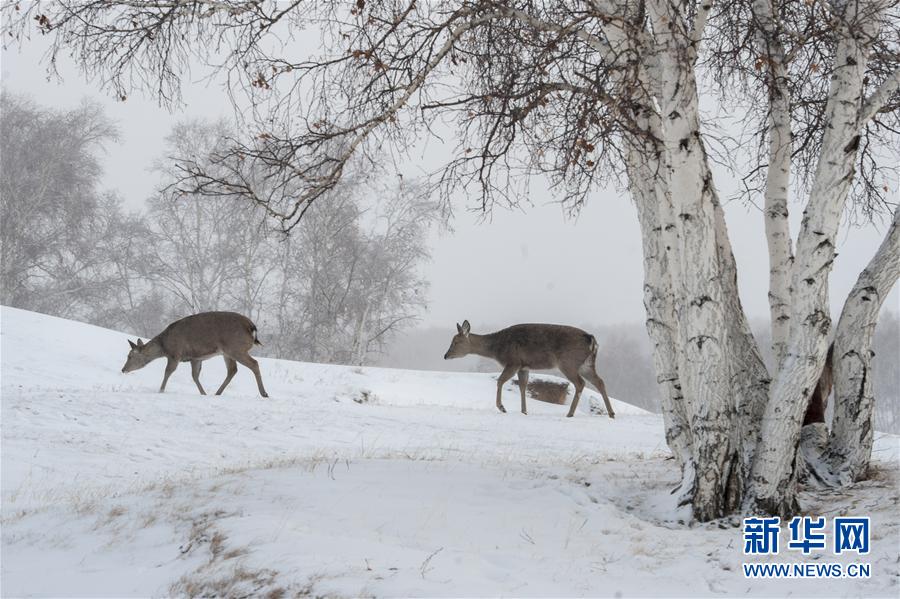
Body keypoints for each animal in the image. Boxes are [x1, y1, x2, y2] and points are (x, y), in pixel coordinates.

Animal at [120, 314, 268, 398]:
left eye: (130, 356)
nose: (123, 369)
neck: (164, 346)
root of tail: (252, 327)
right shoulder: (195, 358)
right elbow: (195, 376)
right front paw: (203, 393)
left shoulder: (175, 354)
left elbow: (168, 372)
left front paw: (160, 391)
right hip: (227, 352)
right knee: (232, 370)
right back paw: (217, 393)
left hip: (235, 347)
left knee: (254, 363)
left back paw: (264, 393)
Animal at [442, 322, 616, 420]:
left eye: (455, 342)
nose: (445, 355)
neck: (497, 349)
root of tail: (591, 340)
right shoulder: (524, 366)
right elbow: (523, 386)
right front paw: (524, 411)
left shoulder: (513, 361)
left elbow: (500, 381)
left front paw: (502, 407)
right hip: (586, 364)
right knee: (600, 381)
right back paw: (611, 413)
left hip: (568, 362)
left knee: (580, 383)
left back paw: (570, 413)